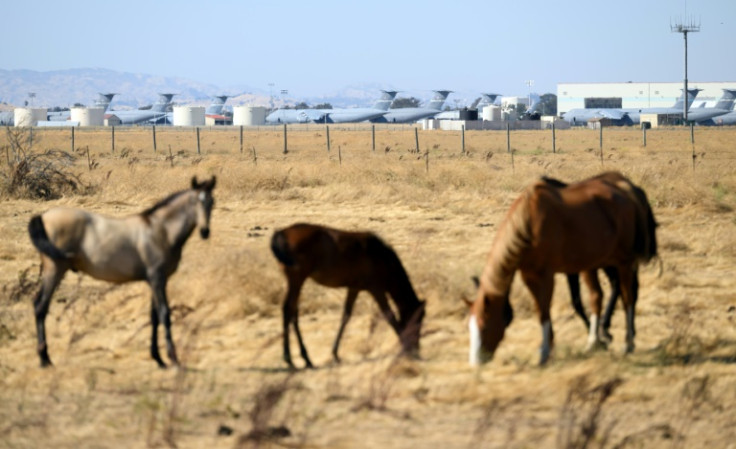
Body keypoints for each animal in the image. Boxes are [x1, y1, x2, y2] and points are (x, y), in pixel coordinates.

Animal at [29, 175, 218, 368]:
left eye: (212, 202)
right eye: (195, 201)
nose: (205, 231)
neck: (160, 231)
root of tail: (43, 217)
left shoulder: (154, 281)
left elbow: (154, 316)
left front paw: (158, 358)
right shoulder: (158, 279)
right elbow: (164, 314)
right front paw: (173, 359)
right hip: (55, 269)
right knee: (41, 306)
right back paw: (44, 359)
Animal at [270, 222, 426, 370]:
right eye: (418, 321)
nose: (417, 349)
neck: (381, 257)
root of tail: (282, 233)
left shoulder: (354, 288)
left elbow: (346, 315)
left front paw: (335, 353)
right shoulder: (376, 289)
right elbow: (389, 316)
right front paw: (405, 346)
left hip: (295, 281)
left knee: (293, 312)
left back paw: (305, 359)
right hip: (297, 278)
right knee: (288, 309)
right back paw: (289, 358)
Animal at [466, 171, 656, 364]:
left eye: (484, 325)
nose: (476, 362)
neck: (530, 223)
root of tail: (627, 190)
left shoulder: (547, 275)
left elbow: (546, 310)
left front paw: (544, 351)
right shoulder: (530, 275)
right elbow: (542, 310)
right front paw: (548, 348)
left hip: (623, 262)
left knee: (627, 297)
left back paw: (627, 342)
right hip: (599, 262)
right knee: (600, 295)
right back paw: (597, 339)